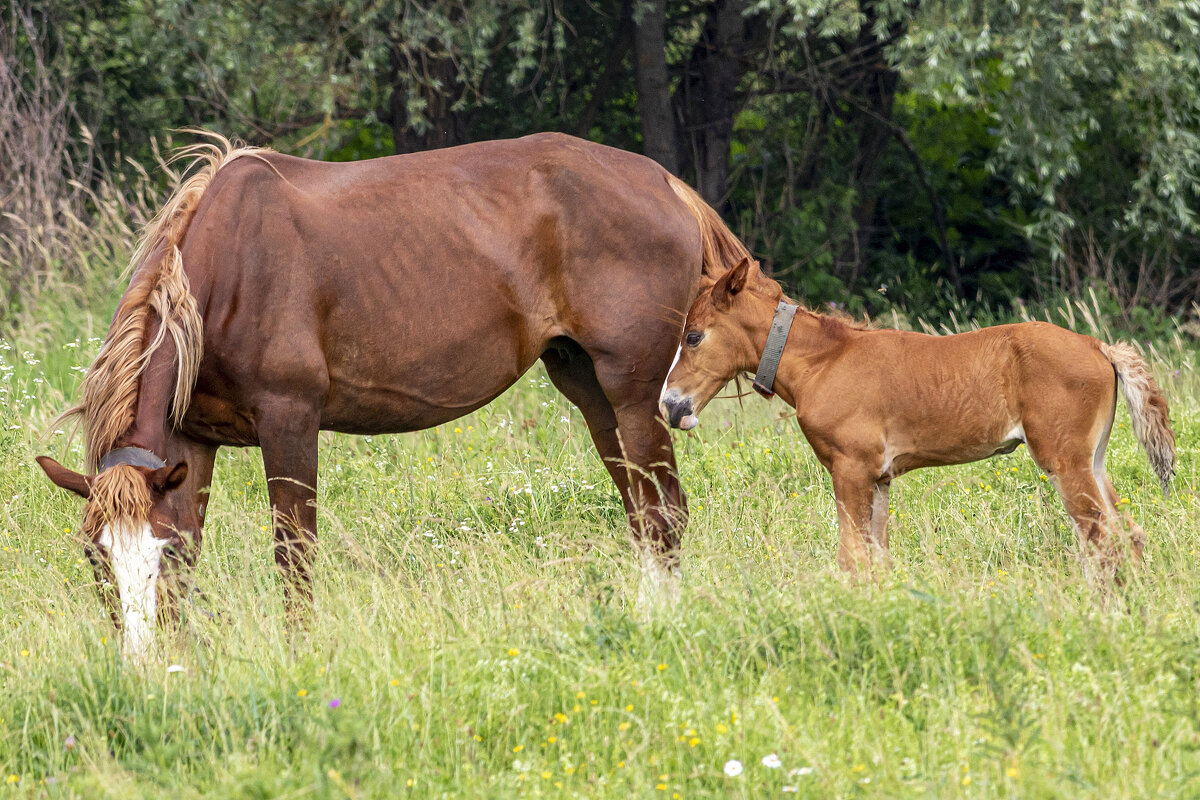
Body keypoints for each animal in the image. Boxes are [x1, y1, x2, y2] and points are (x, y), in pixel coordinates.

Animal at [37, 133, 748, 657]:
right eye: (96, 558)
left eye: (149, 554)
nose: (137, 664)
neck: (229, 275)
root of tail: (663, 182)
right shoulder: (191, 444)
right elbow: (195, 554)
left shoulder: (289, 423)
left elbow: (293, 557)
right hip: (589, 388)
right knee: (643, 515)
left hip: (633, 394)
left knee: (664, 517)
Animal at [657, 260, 1171, 578]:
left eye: (694, 336)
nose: (670, 405)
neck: (824, 361)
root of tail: (1099, 346)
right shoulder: (881, 478)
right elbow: (878, 558)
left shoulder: (851, 469)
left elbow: (851, 558)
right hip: (1093, 460)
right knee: (1129, 535)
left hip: (1064, 461)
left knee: (1103, 537)